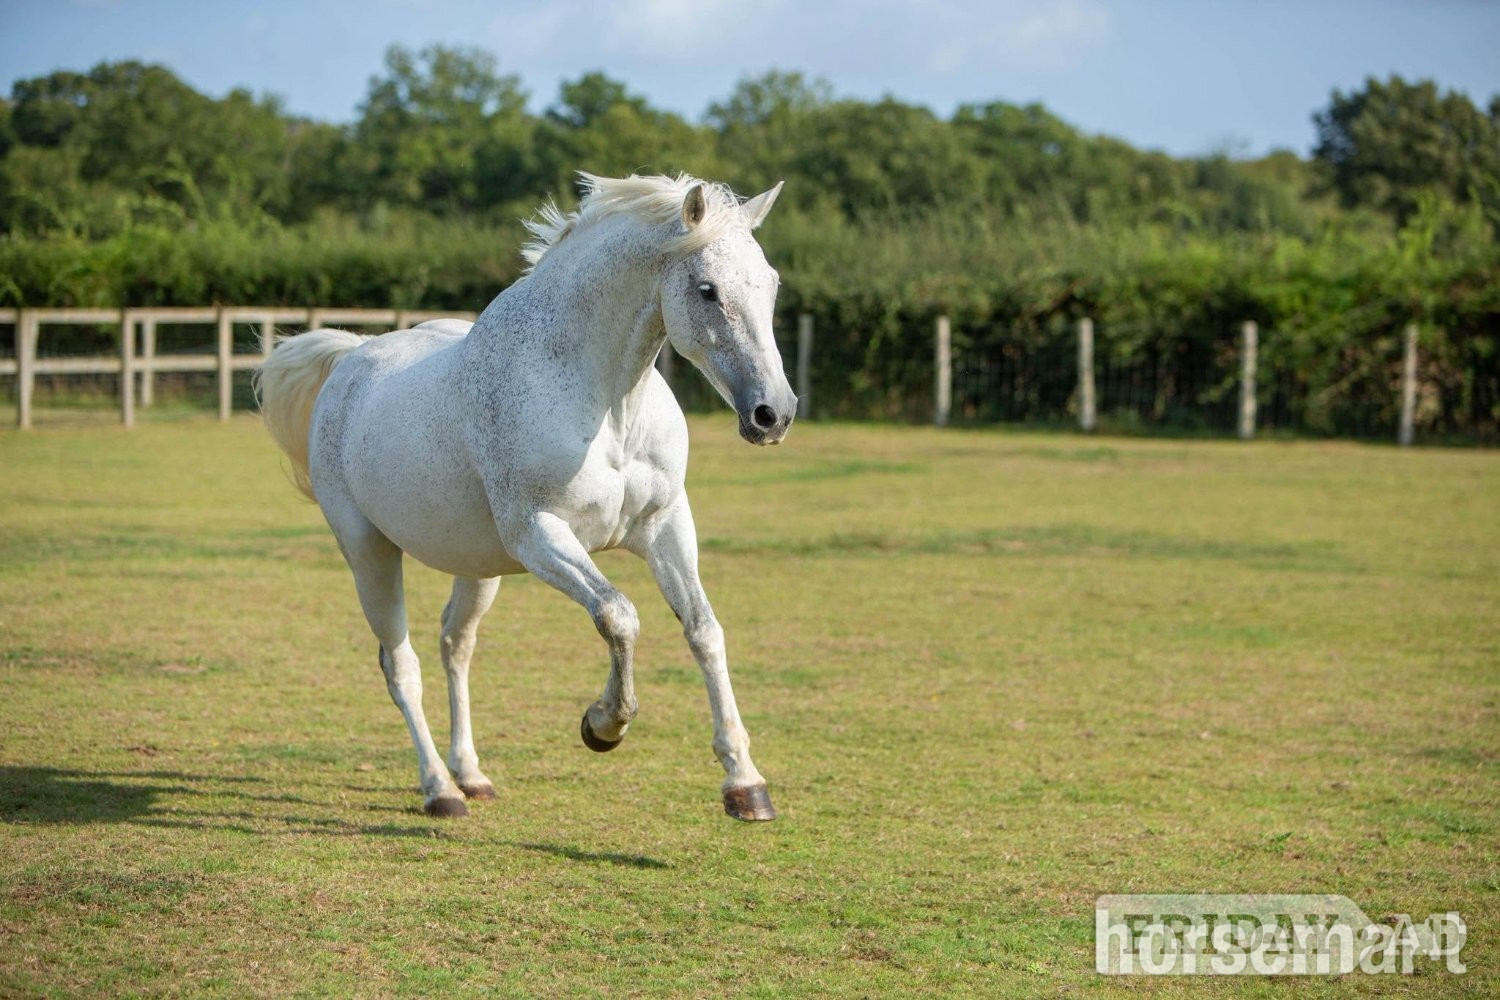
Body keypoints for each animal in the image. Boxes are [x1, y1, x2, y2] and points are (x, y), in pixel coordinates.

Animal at [255, 173, 796, 822]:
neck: (604, 404)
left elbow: (703, 630)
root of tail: (349, 361)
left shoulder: (666, 525)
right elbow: (619, 615)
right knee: (401, 666)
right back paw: (440, 791)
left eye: (770, 282)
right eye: (707, 289)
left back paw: (470, 774)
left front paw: (745, 784)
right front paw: (603, 726)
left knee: (454, 645)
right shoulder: (540, 534)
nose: (773, 414)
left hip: (477, 565)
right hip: (370, 554)